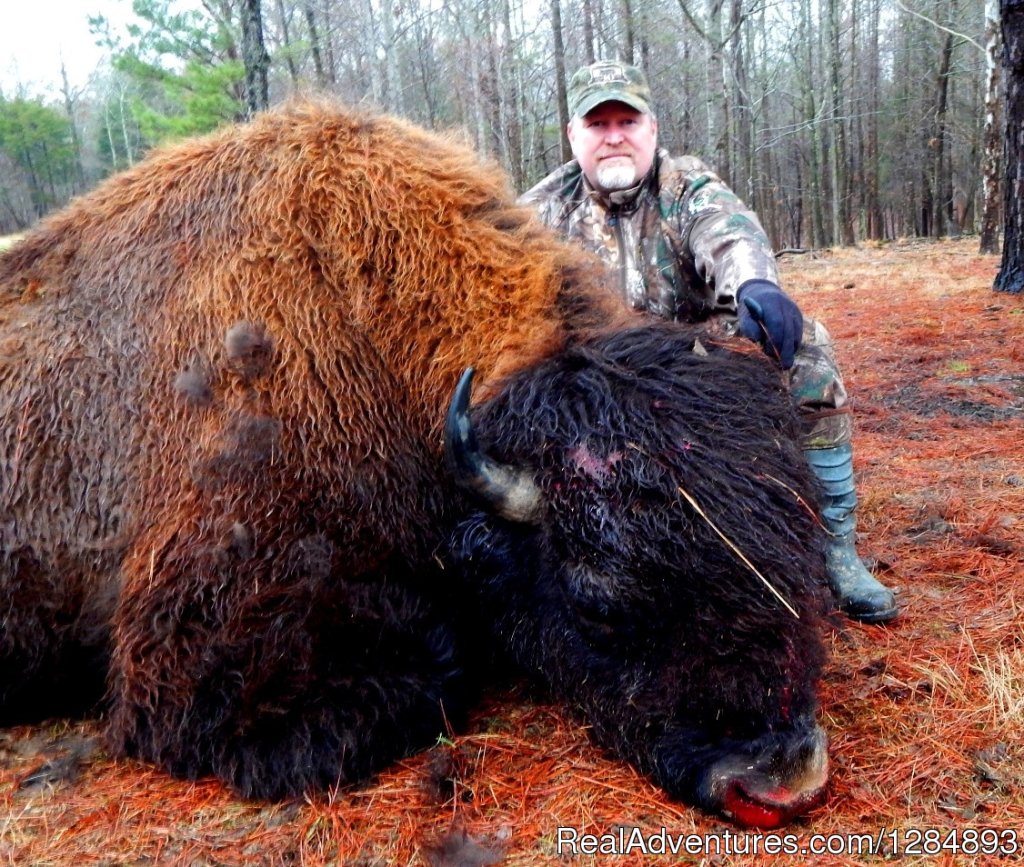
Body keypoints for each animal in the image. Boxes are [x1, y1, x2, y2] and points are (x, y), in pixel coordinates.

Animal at [0, 101, 831, 827]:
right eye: (598, 602)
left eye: (802, 549)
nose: (780, 781)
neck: (356, 324)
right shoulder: (194, 663)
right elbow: (435, 663)